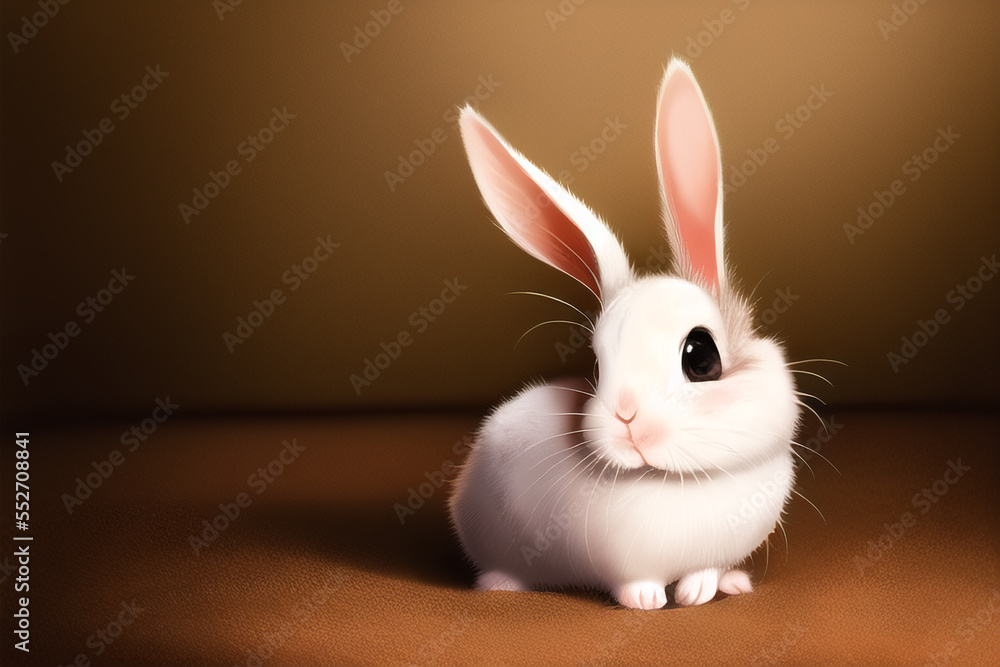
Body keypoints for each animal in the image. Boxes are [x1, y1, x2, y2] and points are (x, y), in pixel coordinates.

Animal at [447, 58, 799, 610]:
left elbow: (704, 567)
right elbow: (635, 581)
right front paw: (650, 601)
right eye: (595, 366)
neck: (679, 479)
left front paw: (699, 591)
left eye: (701, 357)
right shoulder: (624, 563)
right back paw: (501, 585)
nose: (628, 419)